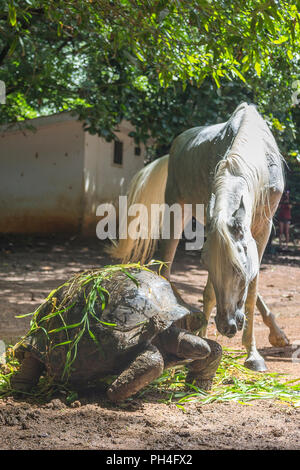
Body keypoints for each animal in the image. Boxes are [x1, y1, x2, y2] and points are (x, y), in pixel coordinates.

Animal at [109, 102, 288, 370]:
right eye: (206, 265)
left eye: (238, 270)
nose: (226, 326)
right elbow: (211, 291)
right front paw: (204, 339)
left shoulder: (262, 228)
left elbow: (252, 287)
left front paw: (253, 354)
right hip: (176, 211)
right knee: (164, 267)